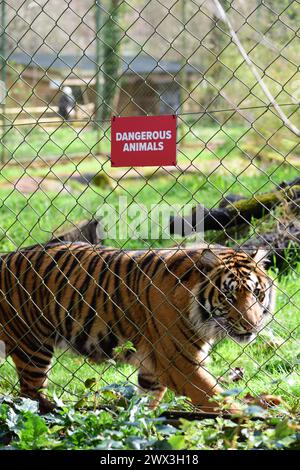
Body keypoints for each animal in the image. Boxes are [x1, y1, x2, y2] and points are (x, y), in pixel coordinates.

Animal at [0, 244, 274, 414]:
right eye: (228, 297)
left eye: (256, 293)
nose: (251, 324)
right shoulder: (181, 366)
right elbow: (222, 402)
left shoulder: (153, 369)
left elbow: (146, 404)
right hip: (32, 346)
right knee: (29, 395)